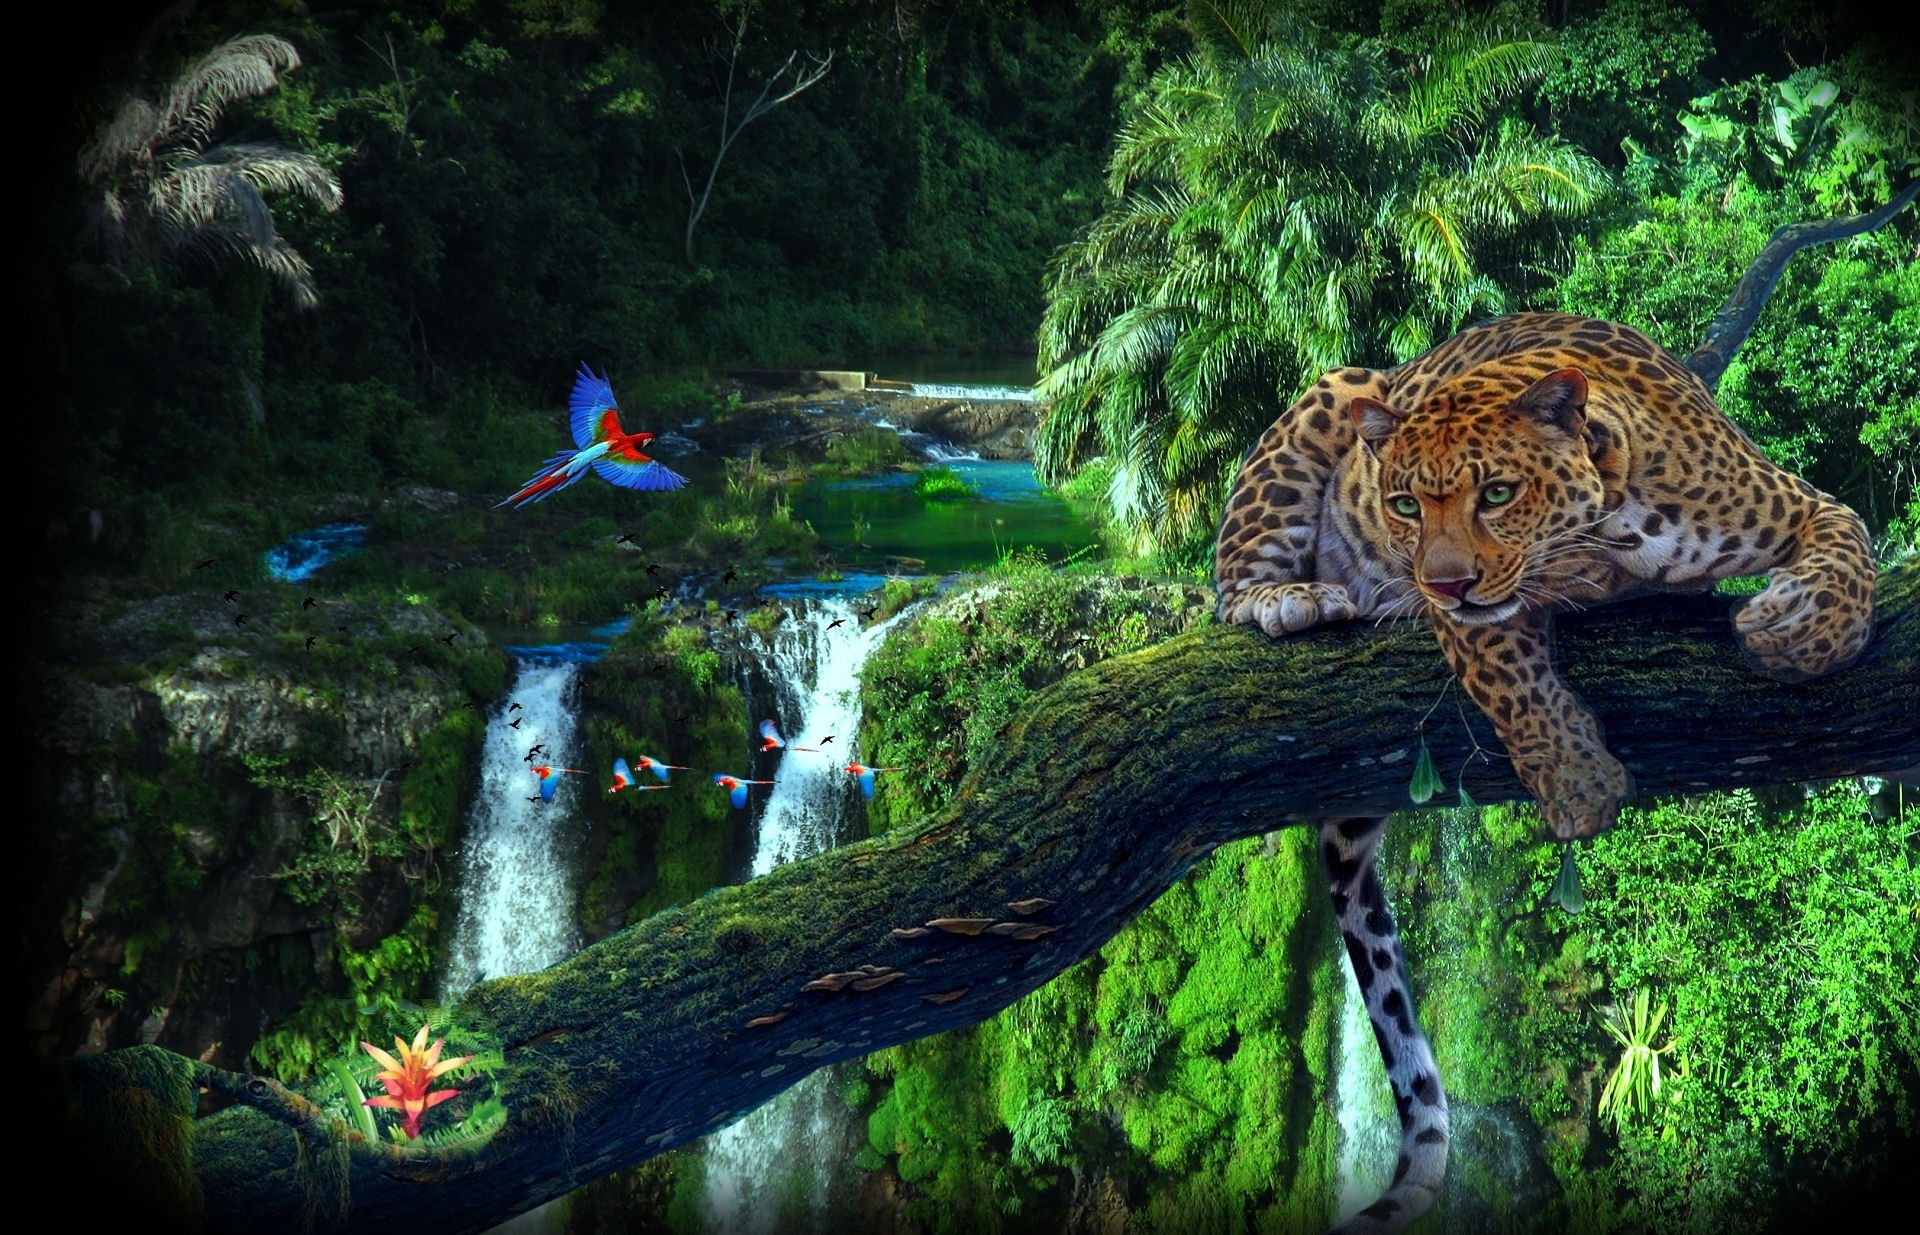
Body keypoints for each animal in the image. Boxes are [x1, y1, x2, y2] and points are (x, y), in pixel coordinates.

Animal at [1213, 311, 1876, 1232]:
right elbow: (1510, 676)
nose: (1441, 583)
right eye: (1403, 504)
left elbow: (1850, 543)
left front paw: (1800, 628)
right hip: (1332, 394)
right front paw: (1576, 780)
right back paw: (1287, 598)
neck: (1616, 524)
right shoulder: (1475, 618)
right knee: (1229, 584)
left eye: (1496, 493)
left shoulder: (1790, 498)